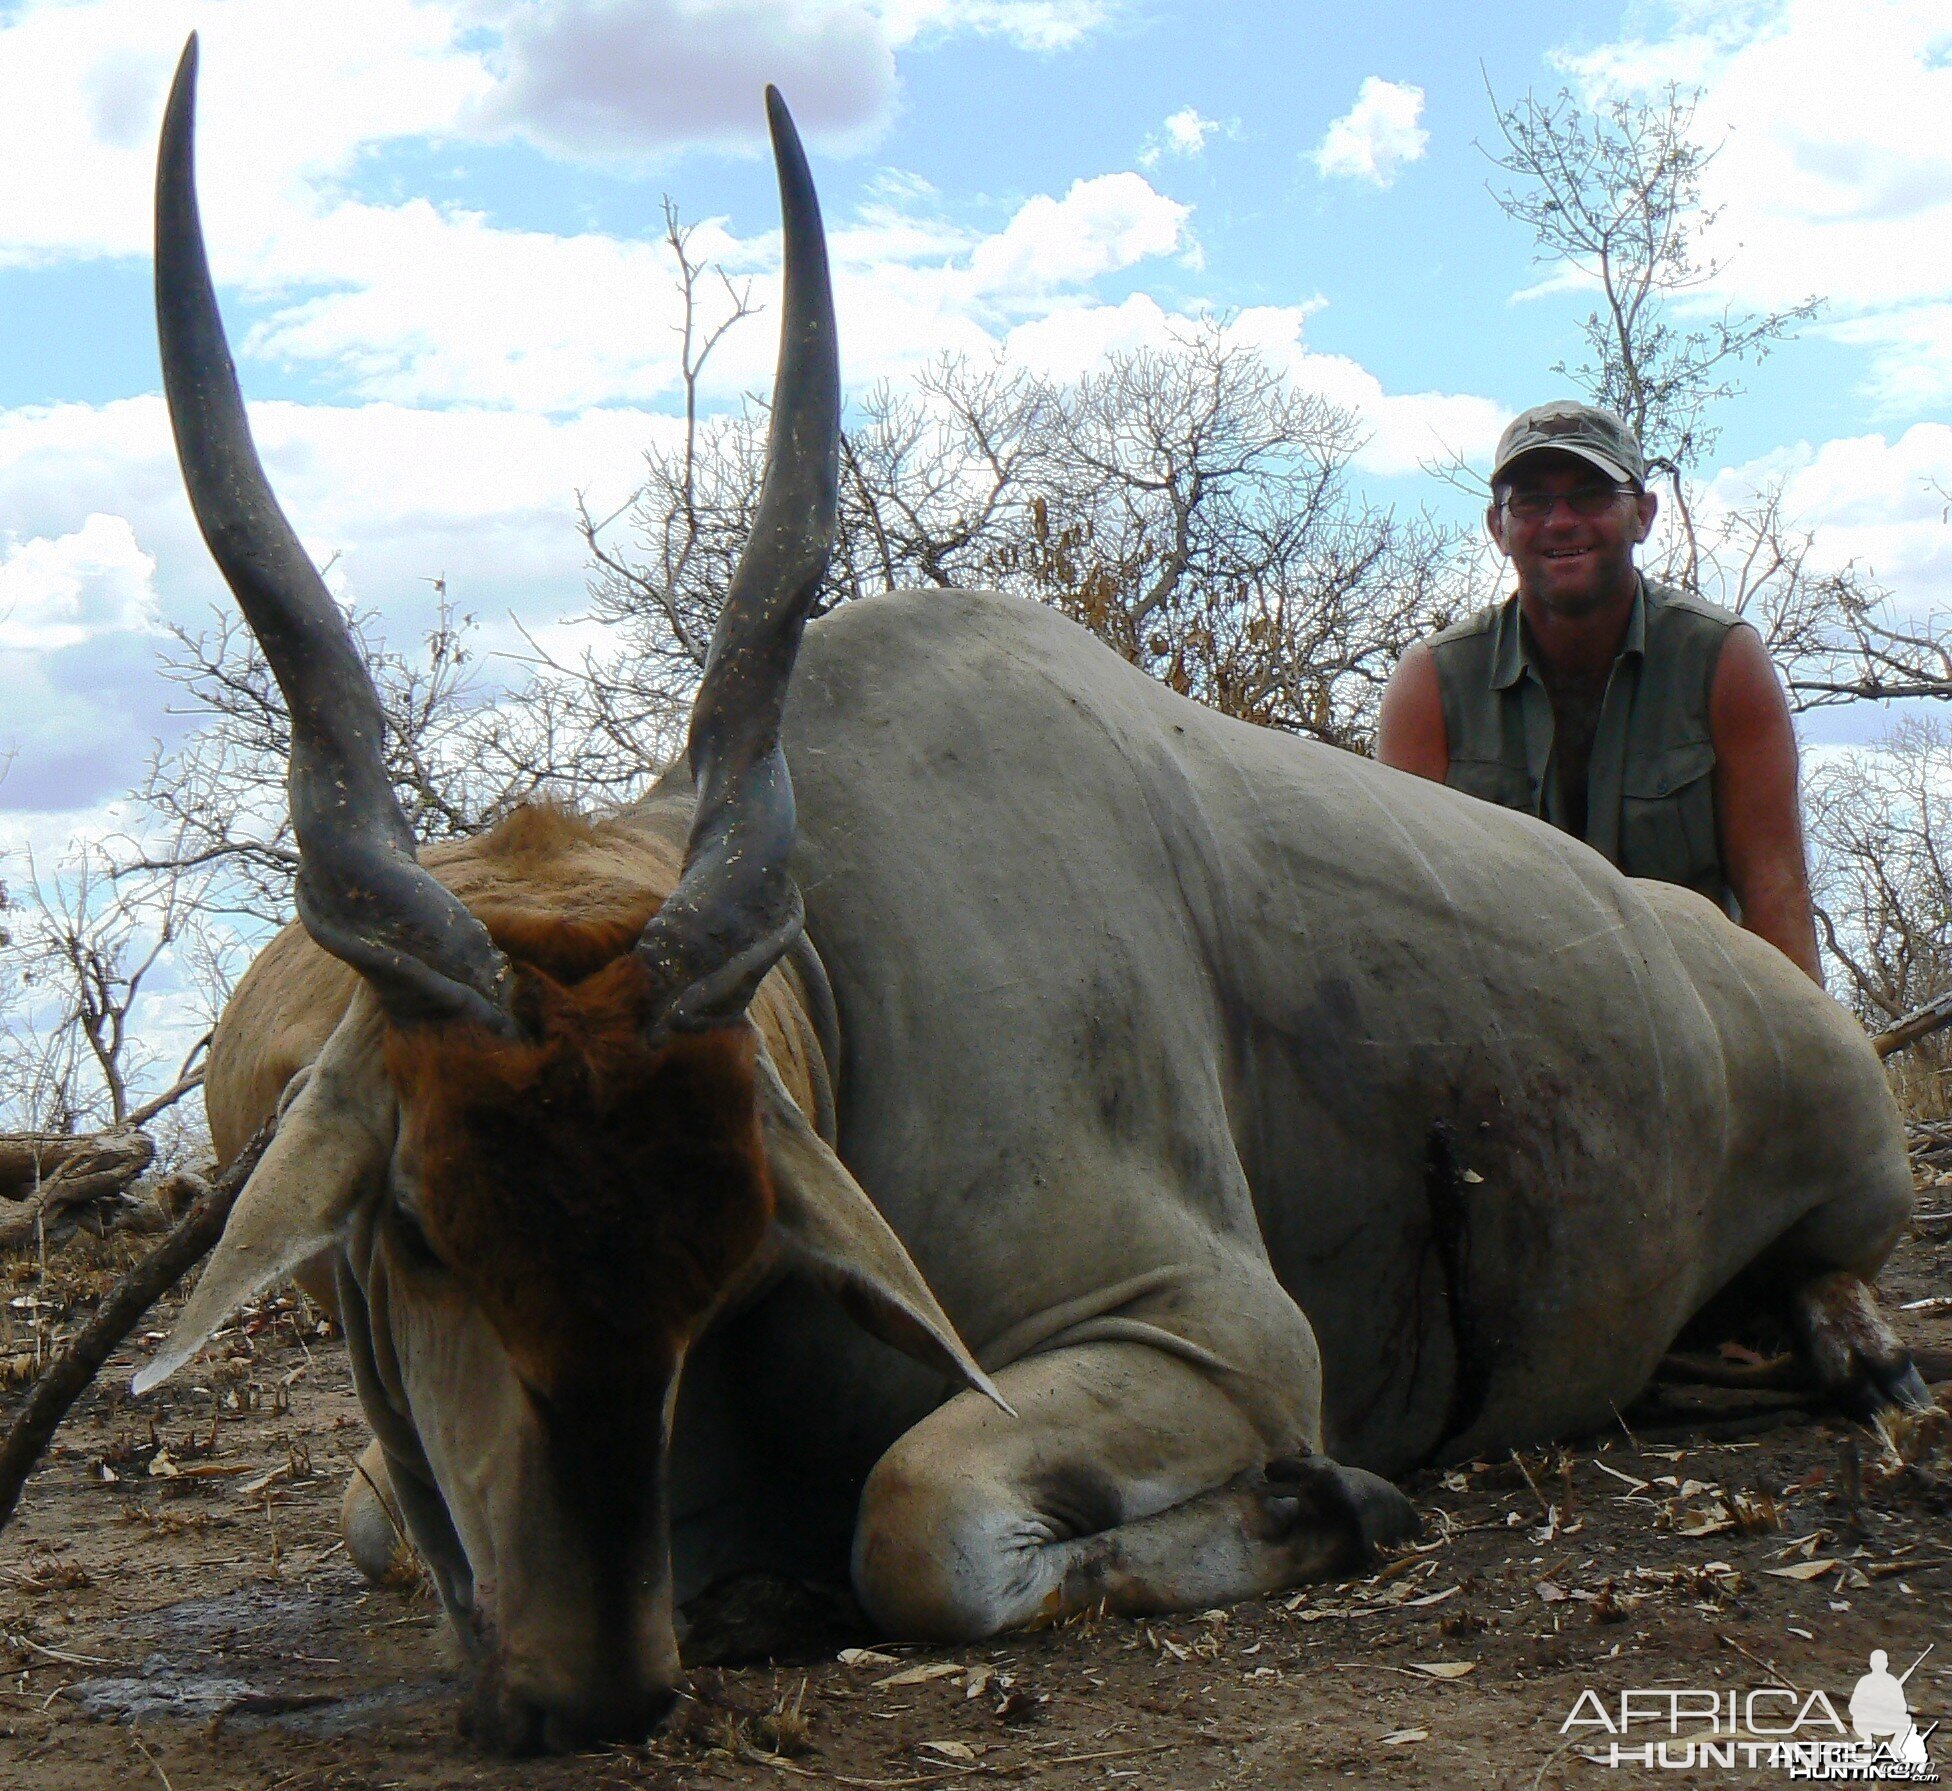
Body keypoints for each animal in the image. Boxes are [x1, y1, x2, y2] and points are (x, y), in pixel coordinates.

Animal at [133, 35, 1920, 1763]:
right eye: (418, 1229)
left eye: (730, 1238)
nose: (592, 1692)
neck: (846, 974)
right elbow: (371, 1516)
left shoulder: (1214, 1330)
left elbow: (917, 1520)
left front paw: (1342, 1496)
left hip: (1857, 1166)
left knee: (1848, 1266)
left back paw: (1846, 1350)